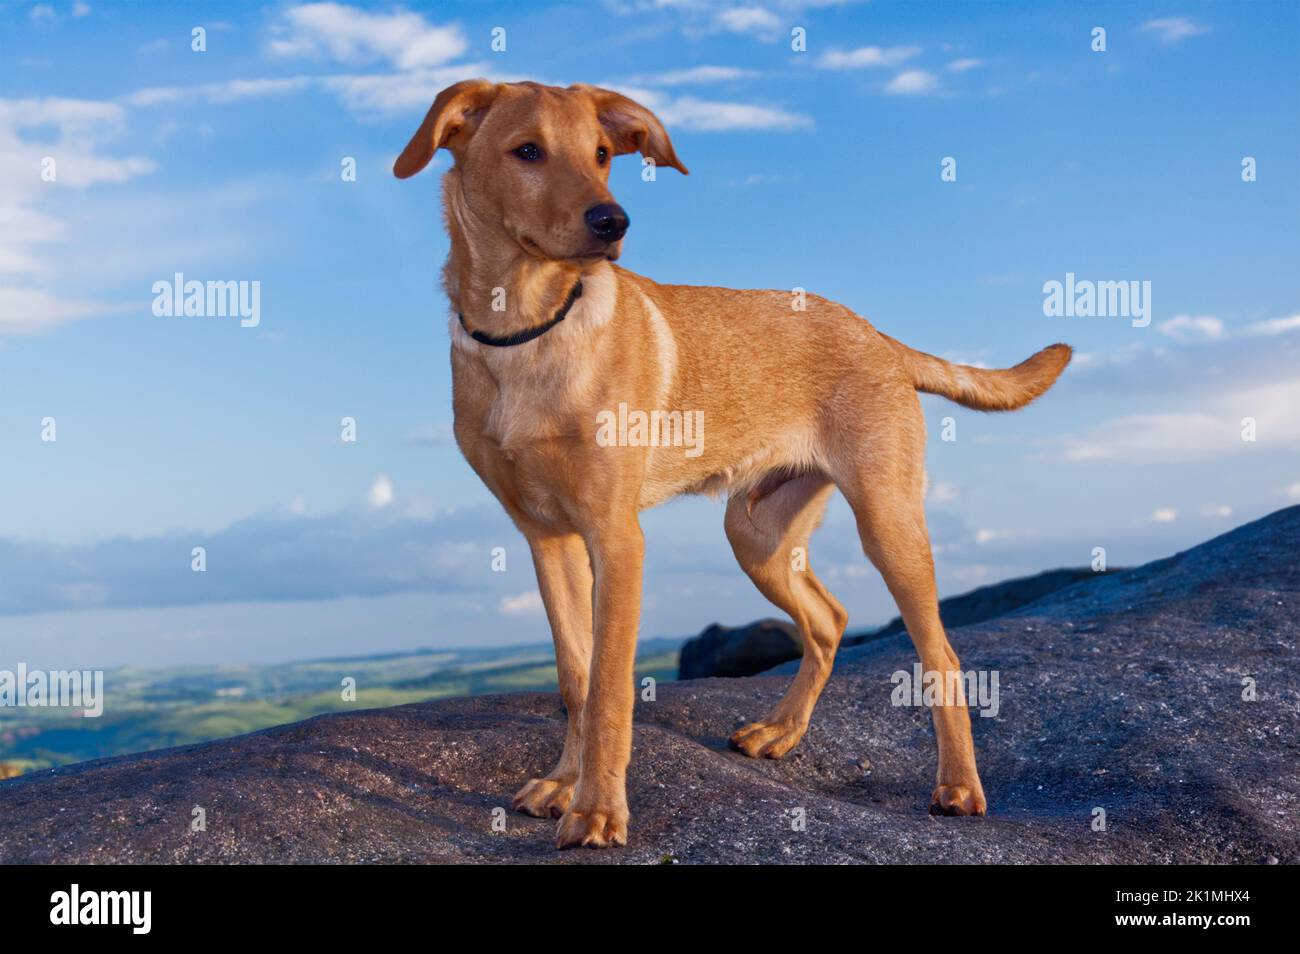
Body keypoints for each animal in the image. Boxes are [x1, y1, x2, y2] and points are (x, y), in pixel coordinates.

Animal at [390, 78, 1071, 847]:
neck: (526, 330)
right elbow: (575, 676)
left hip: (888, 522)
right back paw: (781, 731)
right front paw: (565, 785)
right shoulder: (548, 541)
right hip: (755, 532)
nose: (612, 222)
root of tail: (878, 335)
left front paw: (598, 810)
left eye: (602, 154)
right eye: (527, 151)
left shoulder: (617, 540)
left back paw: (957, 785)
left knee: (942, 656)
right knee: (829, 619)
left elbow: (610, 688)